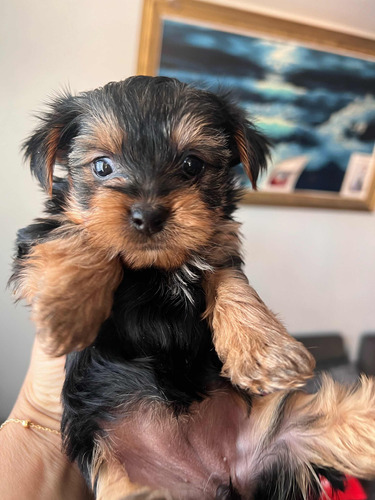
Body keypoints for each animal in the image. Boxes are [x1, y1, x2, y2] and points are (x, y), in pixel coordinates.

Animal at [11, 75, 375, 500]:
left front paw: (262, 349)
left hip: (287, 434)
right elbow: (82, 238)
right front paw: (67, 311)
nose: (148, 215)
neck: (154, 269)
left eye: (191, 164)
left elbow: (230, 282)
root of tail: (213, 475)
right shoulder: (39, 236)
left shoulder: (219, 247)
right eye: (102, 166)